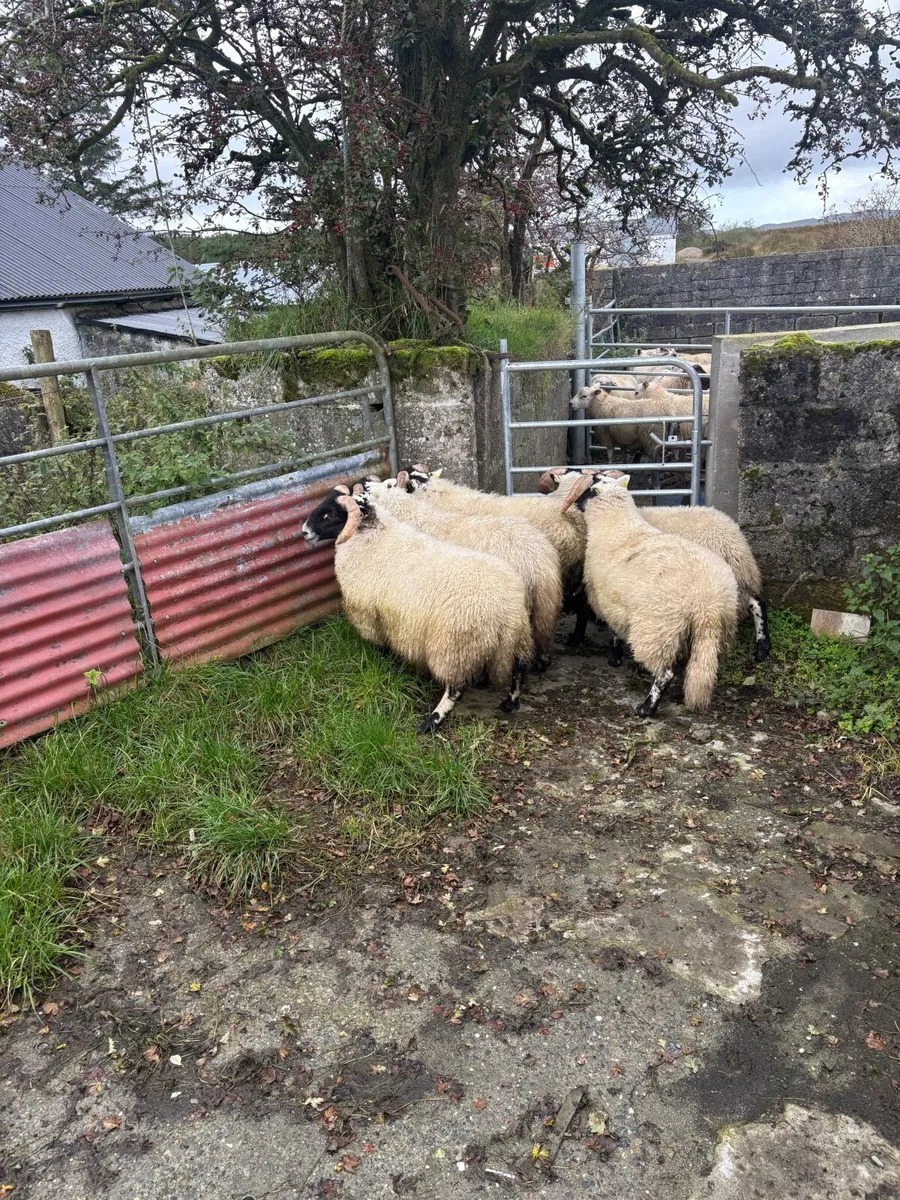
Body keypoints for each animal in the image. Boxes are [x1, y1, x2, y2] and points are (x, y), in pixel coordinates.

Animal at [301, 485, 534, 731]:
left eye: (330, 515)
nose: (304, 532)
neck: (371, 534)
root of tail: (507, 608)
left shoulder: (370, 616)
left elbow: (382, 647)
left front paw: (386, 663)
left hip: (454, 645)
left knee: (456, 688)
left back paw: (432, 720)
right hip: (517, 639)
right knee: (519, 670)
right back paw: (511, 702)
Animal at [538, 467, 770, 660]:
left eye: (586, 488)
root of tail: (732, 534)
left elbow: (586, 608)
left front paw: (583, 640)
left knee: (757, 602)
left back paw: (761, 646)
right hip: (736, 577)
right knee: (757, 601)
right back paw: (763, 647)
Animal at [561, 471, 739, 716]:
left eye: (587, 490)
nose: (575, 504)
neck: (616, 525)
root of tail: (707, 603)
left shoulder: (610, 599)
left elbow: (616, 631)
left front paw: (615, 657)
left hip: (657, 628)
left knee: (665, 673)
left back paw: (647, 707)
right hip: (715, 631)